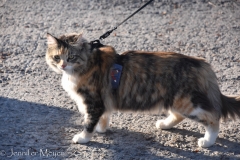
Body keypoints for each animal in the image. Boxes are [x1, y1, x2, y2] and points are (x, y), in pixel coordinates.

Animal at [45, 32, 240, 148]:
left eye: (71, 57)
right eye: (57, 57)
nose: (62, 65)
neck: (85, 65)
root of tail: (202, 63)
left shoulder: (93, 102)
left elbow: (89, 123)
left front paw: (84, 137)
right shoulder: (103, 102)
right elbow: (103, 117)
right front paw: (102, 128)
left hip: (188, 104)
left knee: (214, 118)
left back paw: (207, 141)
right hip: (177, 100)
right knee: (179, 116)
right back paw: (164, 124)